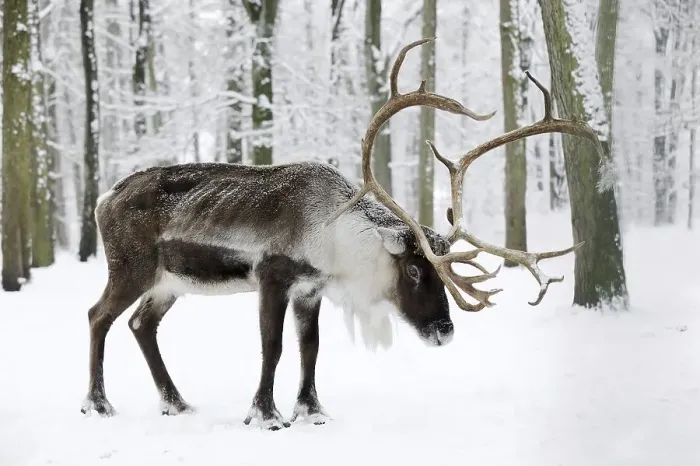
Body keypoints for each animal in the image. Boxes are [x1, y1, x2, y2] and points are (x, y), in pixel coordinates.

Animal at [80, 38, 602, 430]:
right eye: (415, 271)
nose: (444, 332)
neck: (333, 239)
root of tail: (103, 198)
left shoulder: (311, 289)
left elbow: (310, 347)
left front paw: (312, 411)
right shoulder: (273, 277)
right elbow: (272, 345)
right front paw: (265, 415)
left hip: (169, 282)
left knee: (140, 324)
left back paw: (176, 402)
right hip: (130, 269)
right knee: (98, 315)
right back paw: (98, 404)